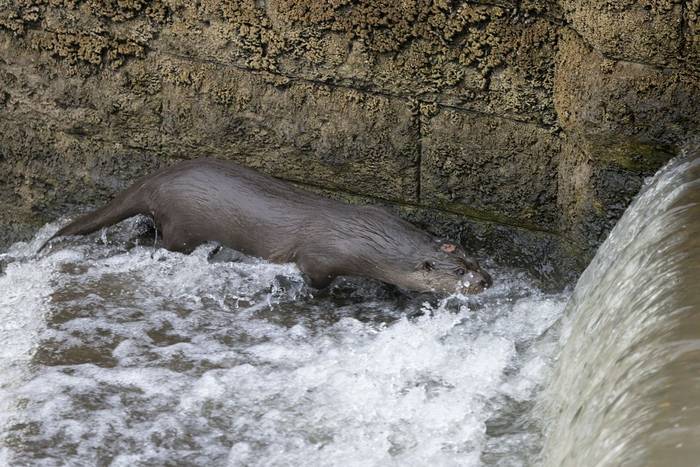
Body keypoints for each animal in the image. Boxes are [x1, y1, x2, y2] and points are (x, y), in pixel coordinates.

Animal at [39, 159, 492, 294]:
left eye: (474, 260)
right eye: (460, 271)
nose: (486, 281)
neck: (365, 237)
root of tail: (156, 180)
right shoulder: (319, 258)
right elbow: (314, 277)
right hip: (182, 225)